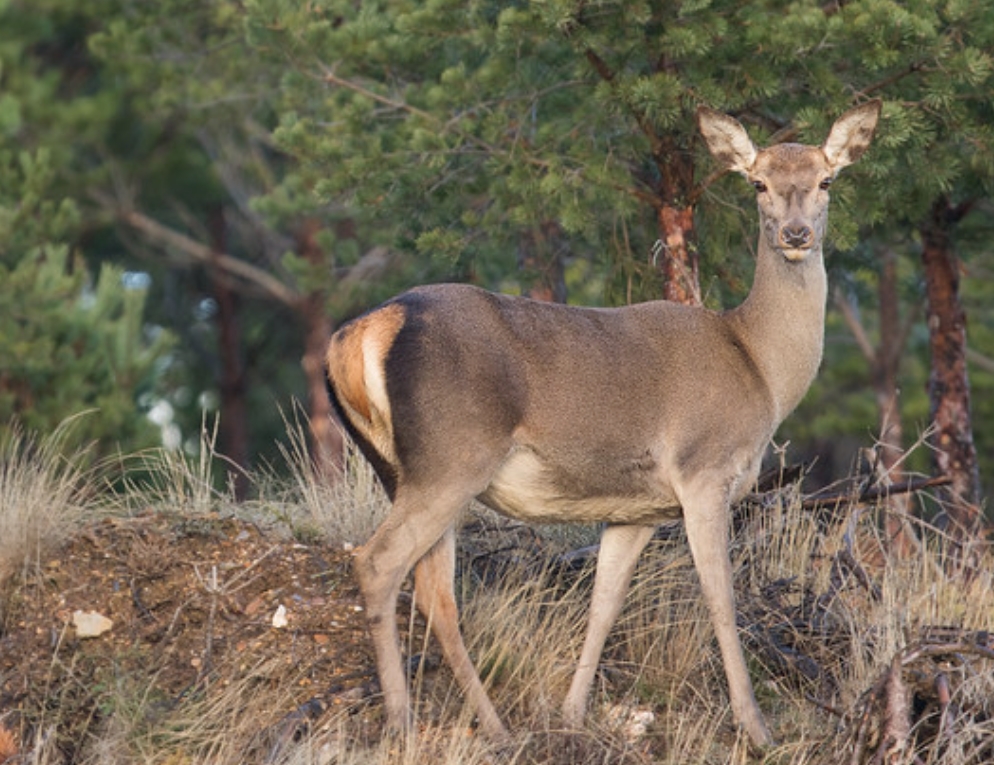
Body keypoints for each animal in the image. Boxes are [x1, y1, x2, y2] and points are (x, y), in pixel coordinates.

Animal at [324, 100, 882, 749]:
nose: (796, 234)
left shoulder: (636, 509)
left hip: (402, 467)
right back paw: (401, 722)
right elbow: (720, 599)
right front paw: (756, 729)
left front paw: (571, 715)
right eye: (758, 183)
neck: (759, 366)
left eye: (826, 180)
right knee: (378, 564)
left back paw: (496, 727)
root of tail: (358, 334)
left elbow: (604, 602)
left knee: (434, 591)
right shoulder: (704, 469)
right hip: (452, 455)